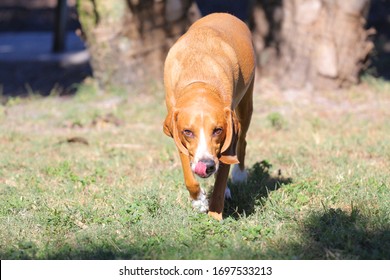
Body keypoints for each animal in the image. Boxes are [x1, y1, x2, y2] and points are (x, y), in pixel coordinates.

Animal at [162, 13, 256, 220]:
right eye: (188, 132)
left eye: (218, 130)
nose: (207, 165)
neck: (200, 80)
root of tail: (224, 14)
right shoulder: (179, 135)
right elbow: (188, 174)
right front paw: (198, 200)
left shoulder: (228, 133)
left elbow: (220, 181)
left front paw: (214, 216)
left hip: (246, 104)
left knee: (242, 141)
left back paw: (239, 175)